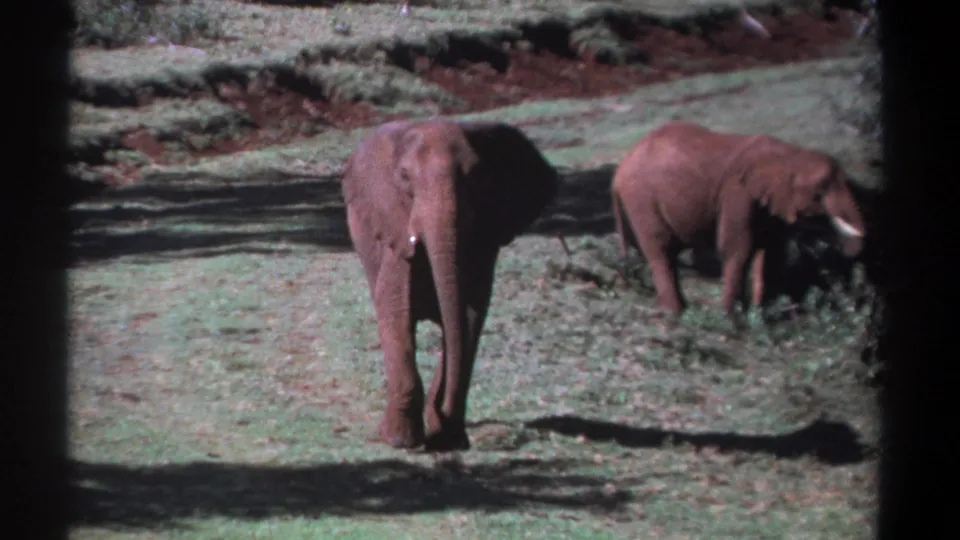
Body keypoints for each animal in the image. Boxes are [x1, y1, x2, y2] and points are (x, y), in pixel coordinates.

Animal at [342, 118, 560, 452]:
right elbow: (395, 310)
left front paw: (447, 436)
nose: (442, 416)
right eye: (404, 177)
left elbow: (469, 317)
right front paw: (399, 440)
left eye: (475, 175)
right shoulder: (395, 229)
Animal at [611, 121, 866, 319]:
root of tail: (618, 174)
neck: (789, 155)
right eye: (821, 189)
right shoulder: (737, 193)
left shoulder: (769, 203)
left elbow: (772, 251)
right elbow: (737, 247)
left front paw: (762, 314)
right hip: (642, 200)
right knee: (660, 251)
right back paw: (676, 313)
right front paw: (733, 317)